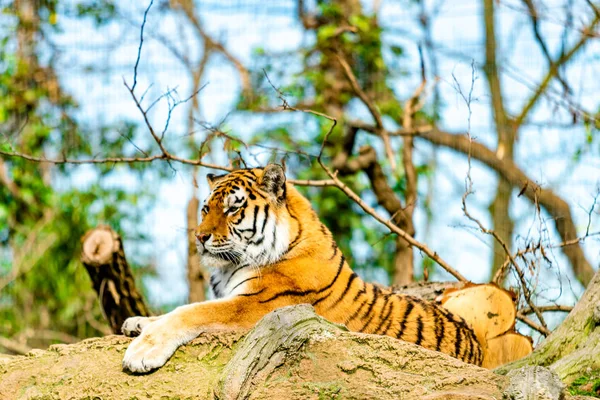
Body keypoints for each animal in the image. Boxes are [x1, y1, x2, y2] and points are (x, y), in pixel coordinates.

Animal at [120, 162, 482, 372]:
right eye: (206, 209)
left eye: (232, 209)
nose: (200, 237)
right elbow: (176, 311)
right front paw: (136, 322)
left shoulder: (254, 306)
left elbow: (190, 311)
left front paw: (142, 352)